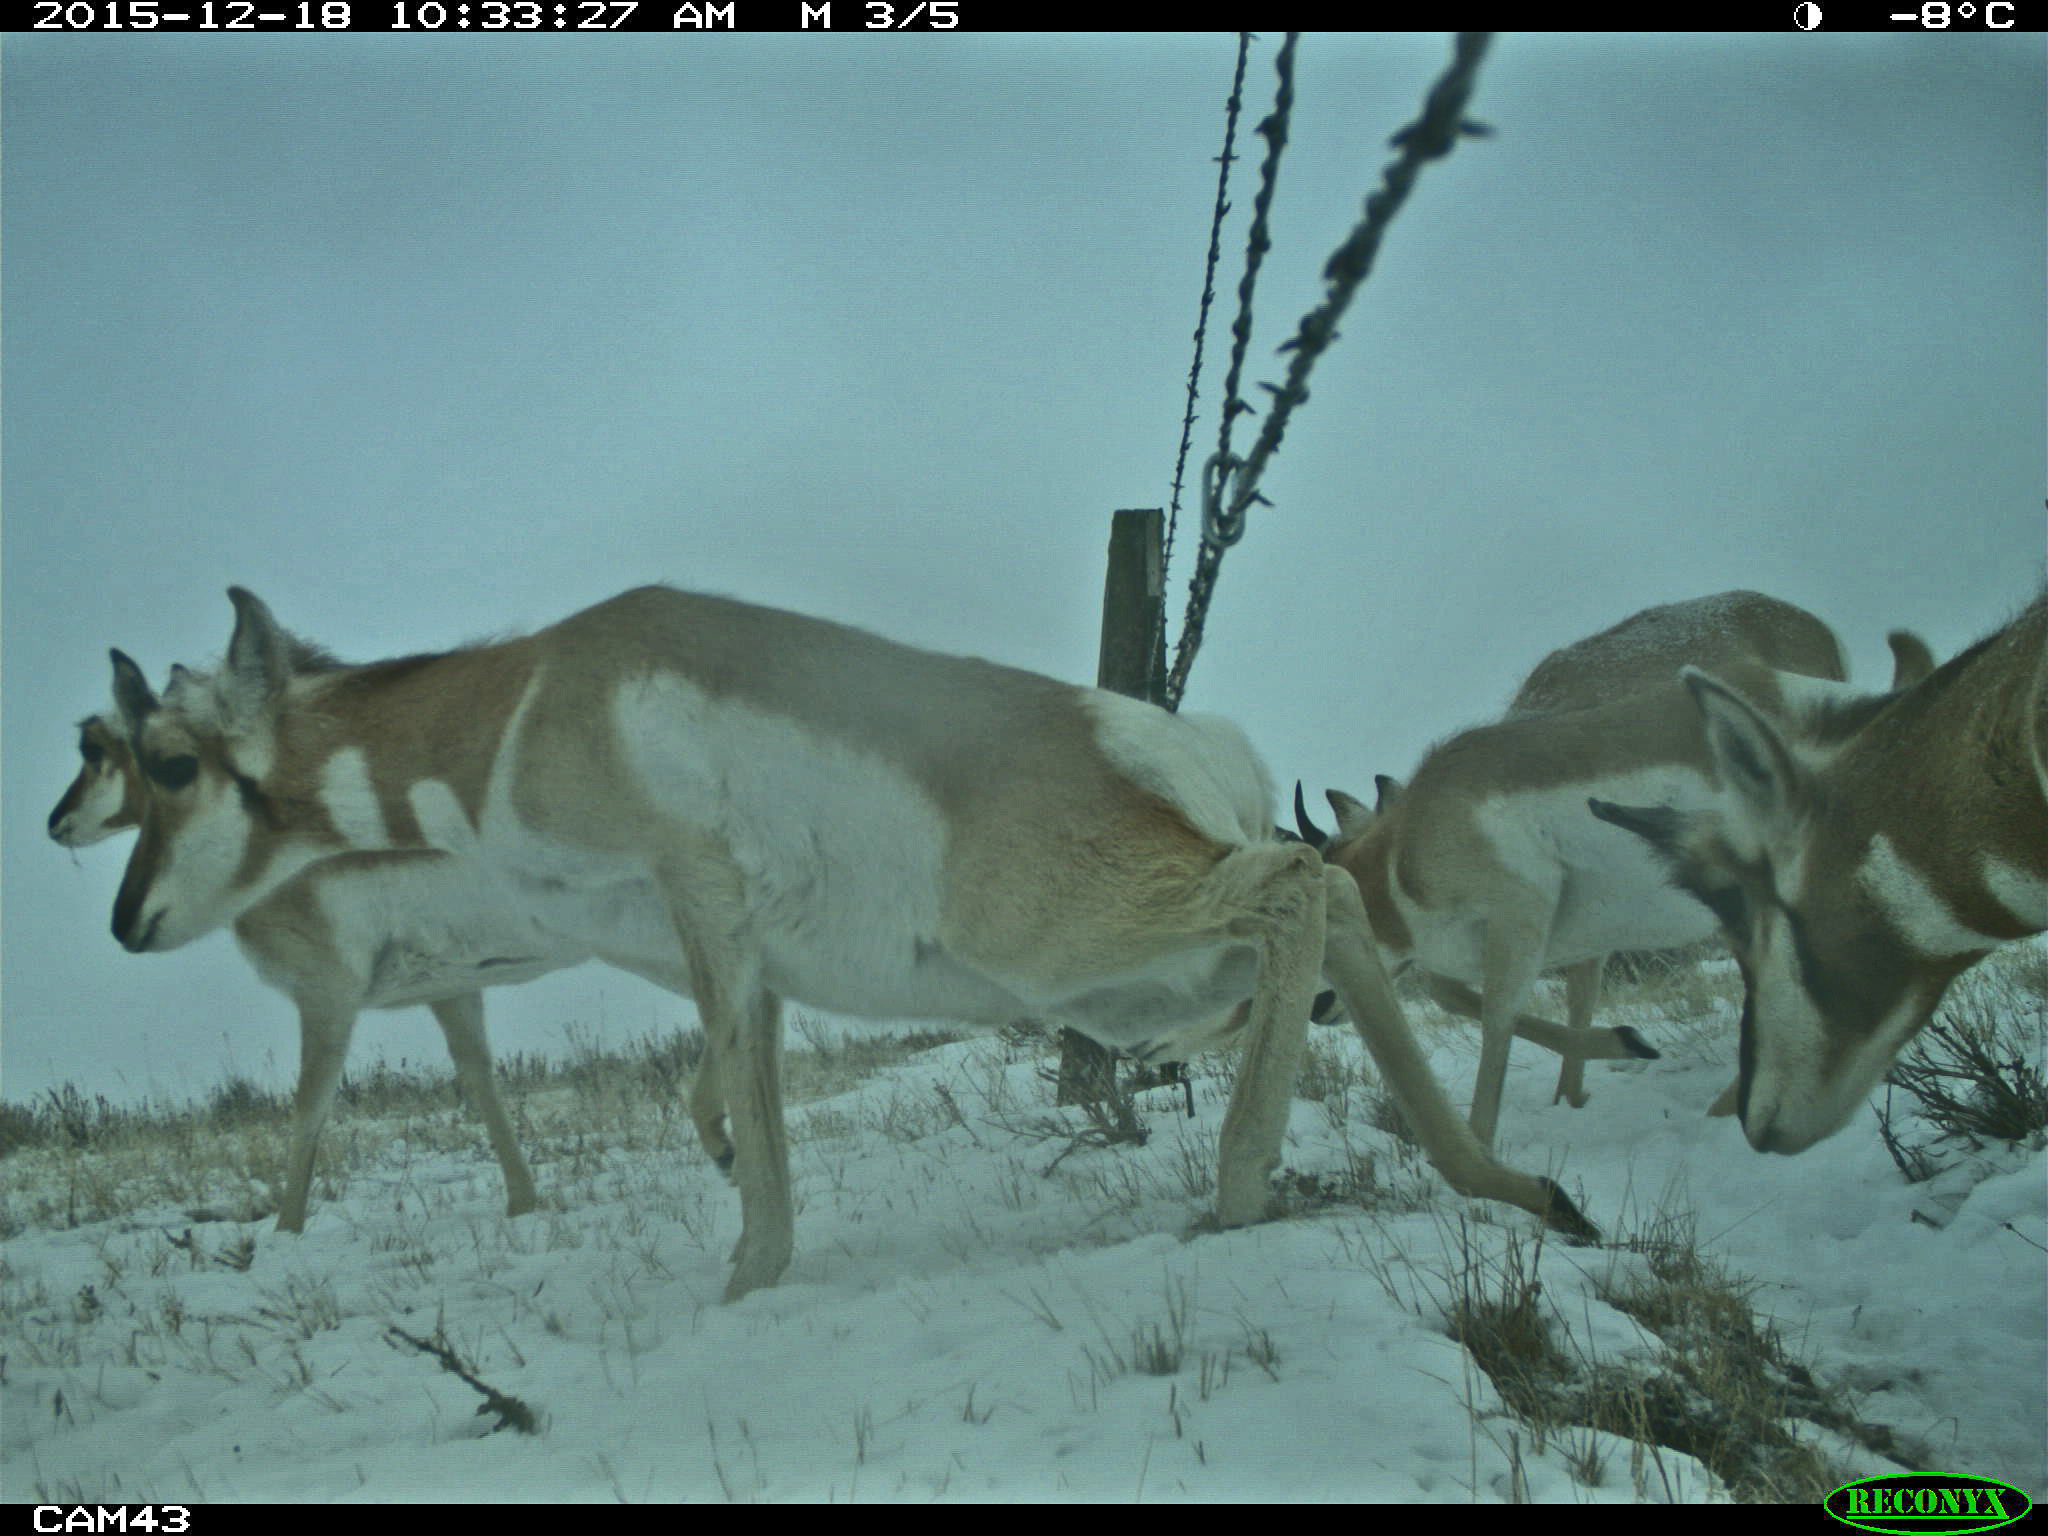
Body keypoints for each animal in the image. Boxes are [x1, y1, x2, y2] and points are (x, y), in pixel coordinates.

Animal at [51, 679, 729, 1236]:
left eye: (93, 748)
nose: (56, 823)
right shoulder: (451, 992)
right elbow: (480, 1081)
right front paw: (523, 1203)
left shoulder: (327, 998)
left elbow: (309, 1107)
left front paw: (285, 1233)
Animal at [1302, 593, 1908, 1146]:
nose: (1314, 1006)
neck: (1405, 847)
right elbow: (1479, 996)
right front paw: (1617, 1050)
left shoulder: (1523, 911)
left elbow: (1496, 1018)